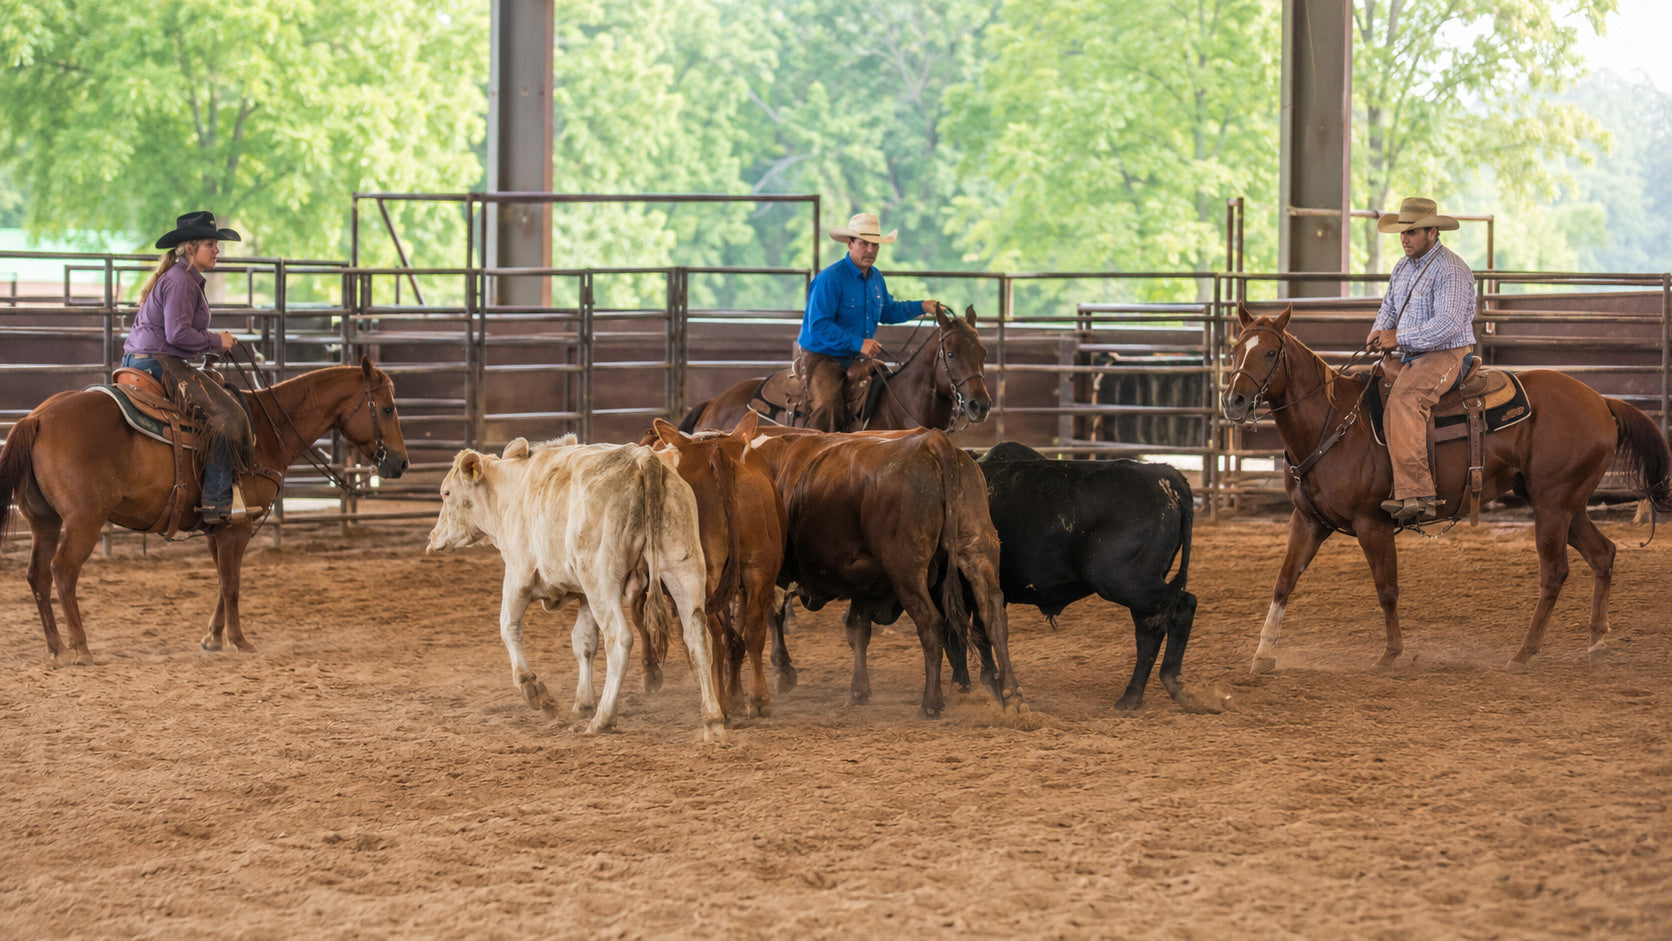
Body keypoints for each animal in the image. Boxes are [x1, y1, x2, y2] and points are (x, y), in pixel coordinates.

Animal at [426, 435, 725, 740]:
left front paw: (534, 691)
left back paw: (602, 719)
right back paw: (713, 720)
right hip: (683, 568)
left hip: (601, 581)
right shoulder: (583, 596)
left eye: (446, 493)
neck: (512, 491)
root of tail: (644, 459)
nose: (433, 537)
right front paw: (582, 703)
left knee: (619, 638)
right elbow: (584, 642)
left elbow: (508, 627)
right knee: (697, 635)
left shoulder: (518, 575)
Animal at [642, 411, 788, 719]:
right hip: (760, 567)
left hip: (704, 573)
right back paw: (759, 698)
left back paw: (719, 702)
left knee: (713, 635)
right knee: (753, 629)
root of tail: (717, 454)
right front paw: (737, 694)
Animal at [749, 427, 1025, 718]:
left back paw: (931, 703)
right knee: (993, 616)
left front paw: (783, 670)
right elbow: (857, 631)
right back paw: (1012, 694)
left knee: (931, 624)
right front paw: (858, 690)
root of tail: (932, 442)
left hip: (906, 570)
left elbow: (774, 615)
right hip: (978, 549)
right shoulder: (863, 582)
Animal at [958, 440, 1203, 711]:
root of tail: (1167, 475)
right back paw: (1170, 685)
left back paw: (1134, 696)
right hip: (1138, 587)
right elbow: (979, 633)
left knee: (1169, 616)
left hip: (1127, 583)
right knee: (1164, 618)